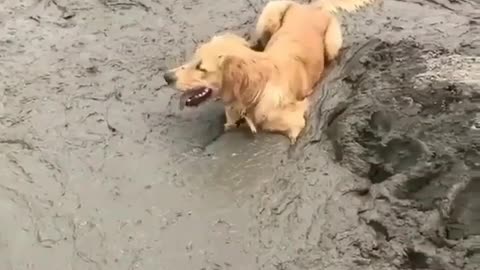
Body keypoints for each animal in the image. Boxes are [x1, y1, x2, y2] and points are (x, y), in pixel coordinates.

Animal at [163, 0, 376, 143]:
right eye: (192, 58)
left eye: (201, 67)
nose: (166, 77)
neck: (252, 95)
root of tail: (312, 7)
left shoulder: (295, 122)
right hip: (271, 12)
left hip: (331, 44)